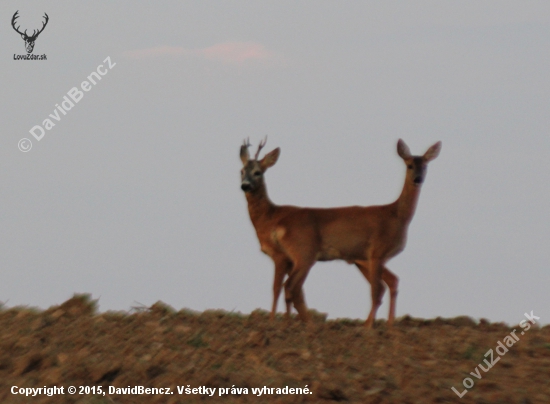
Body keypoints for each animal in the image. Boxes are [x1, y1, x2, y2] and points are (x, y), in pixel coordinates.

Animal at [242, 139, 444, 328]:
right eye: (409, 165)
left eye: (425, 165)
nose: (418, 178)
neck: (396, 215)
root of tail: (281, 226)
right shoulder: (377, 252)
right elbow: (376, 291)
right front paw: (368, 328)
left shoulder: (373, 257)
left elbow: (378, 289)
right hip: (305, 253)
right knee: (292, 287)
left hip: (323, 257)